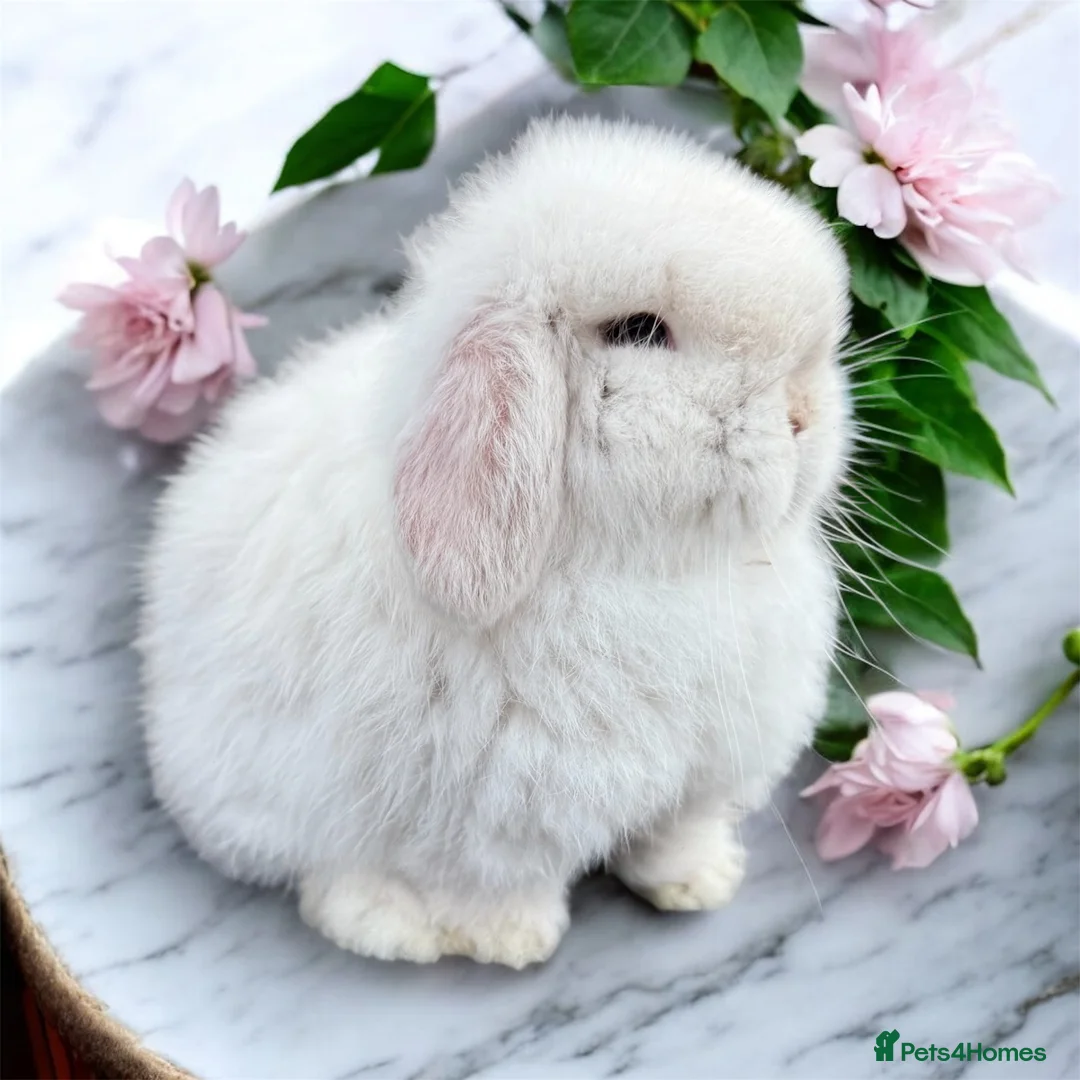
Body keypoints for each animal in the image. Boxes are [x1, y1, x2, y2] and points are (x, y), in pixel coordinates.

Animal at [137, 116, 851, 970]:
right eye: (639, 331)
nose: (805, 412)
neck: (643, 564)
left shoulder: (700, 775)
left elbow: (673, 834)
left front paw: (701, 881)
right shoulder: (491, 823)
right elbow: (497, 885)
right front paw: (513, 940)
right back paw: (393, 925)